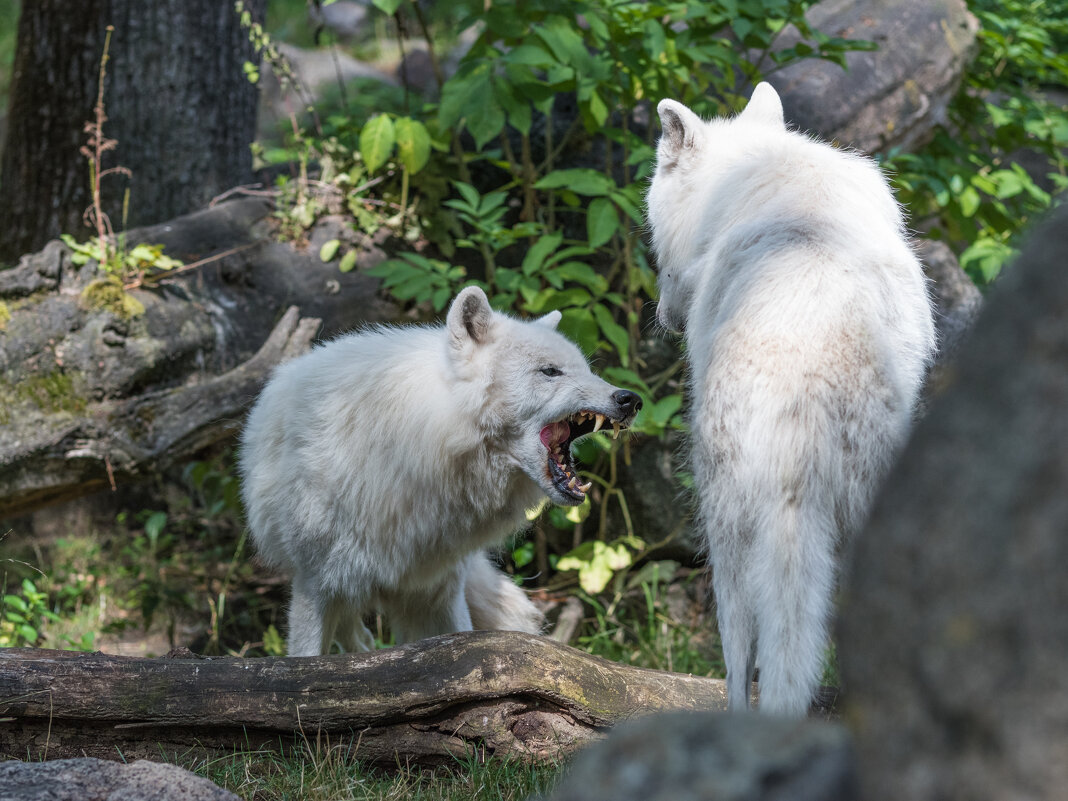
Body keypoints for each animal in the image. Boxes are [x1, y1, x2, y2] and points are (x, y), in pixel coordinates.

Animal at [240, 288, 640, 657]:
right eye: (550, 371)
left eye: (587, 369)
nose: (631, 399)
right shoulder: (314, 585)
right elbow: (306, 661)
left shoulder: (440, 587)